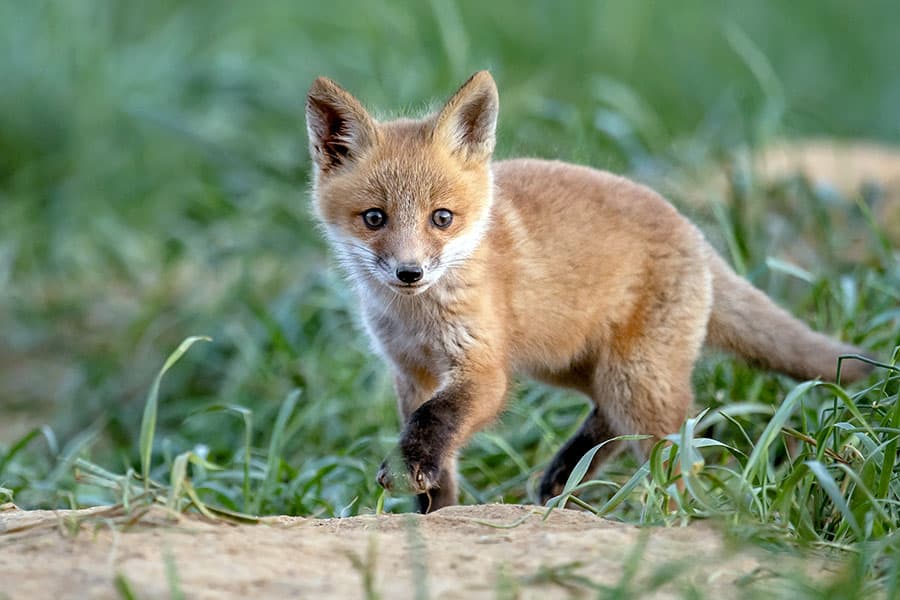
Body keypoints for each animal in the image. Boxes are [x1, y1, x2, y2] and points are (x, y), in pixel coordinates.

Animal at [306, 69, 876, 510]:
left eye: (441, 218)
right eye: (374, 218)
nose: (410, 273)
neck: (417, 319)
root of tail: (692, 229)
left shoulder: (485, 370)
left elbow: (437, 420)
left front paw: (414, 474)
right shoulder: (411, 373)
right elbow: (437, 449)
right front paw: (433, 513)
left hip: (635, 380)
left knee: (675, 453)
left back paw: (669, 517)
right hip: (571, 365)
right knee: (611, 417)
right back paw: (566, 474)